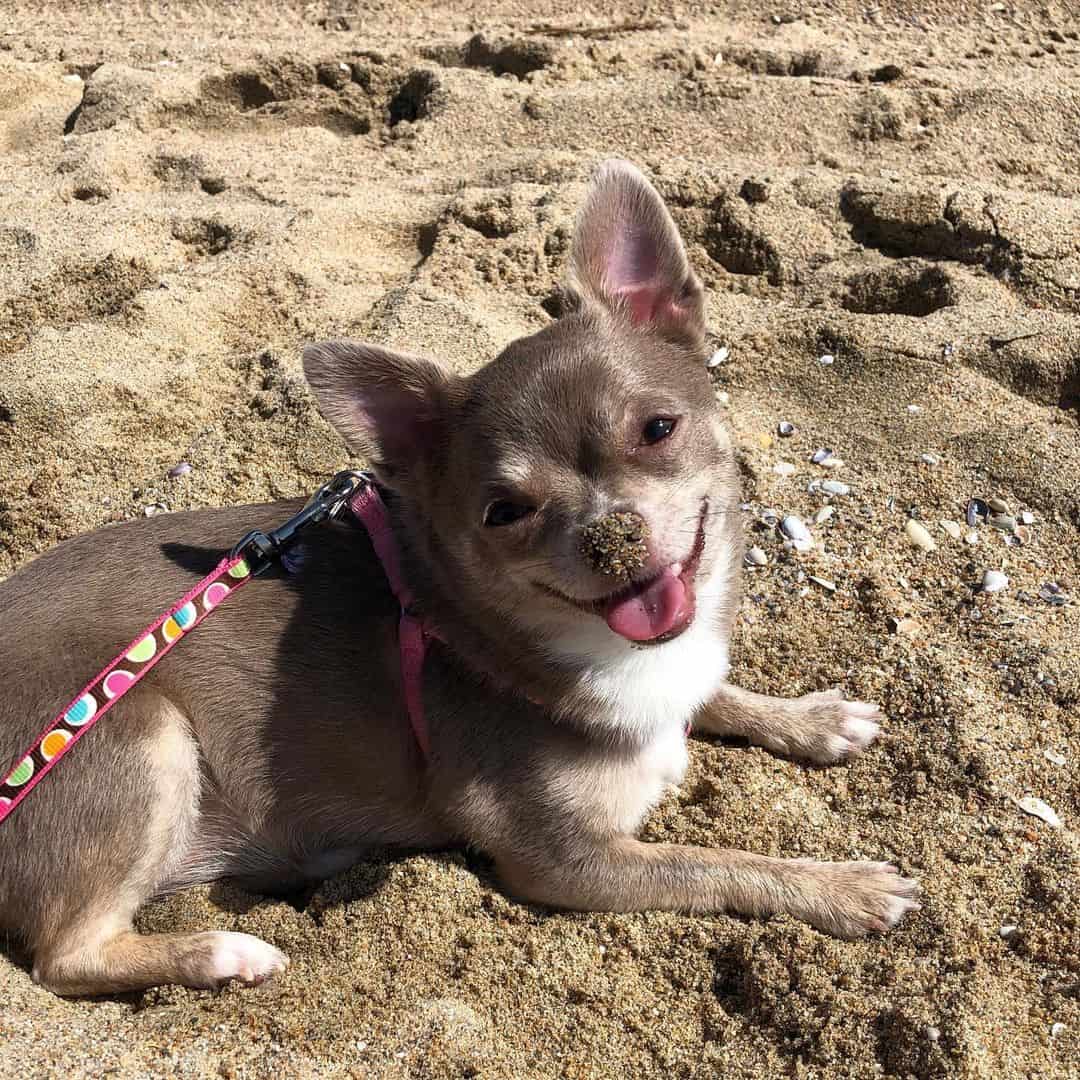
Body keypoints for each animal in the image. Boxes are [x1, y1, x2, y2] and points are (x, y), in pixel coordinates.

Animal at [0, 159, 920, 993]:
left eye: (658, 429)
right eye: (503, 512)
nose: (610, 534)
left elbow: (714, 688)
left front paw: (810, 719)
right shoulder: (562, 857)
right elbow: (714, 861)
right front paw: (839, 885)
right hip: (142, 735)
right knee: (65, 958)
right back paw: (222, 953)